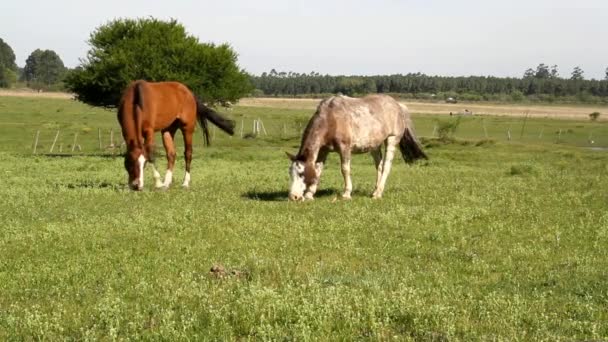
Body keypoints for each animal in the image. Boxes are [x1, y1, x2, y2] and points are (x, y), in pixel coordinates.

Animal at [286, 93, 426, 200]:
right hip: (374, 146)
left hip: (392, 139)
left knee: (386, 167)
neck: (331, 119)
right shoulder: (323, 150)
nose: (294, 197)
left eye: (301, 173)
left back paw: (378, 193)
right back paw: (374, 191)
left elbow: (345, 169)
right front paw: (310, 194)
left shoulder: (345, 149)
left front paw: (347, 194)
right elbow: (318, 169)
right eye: (290, 173)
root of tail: (398, 106)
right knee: (379, 167)